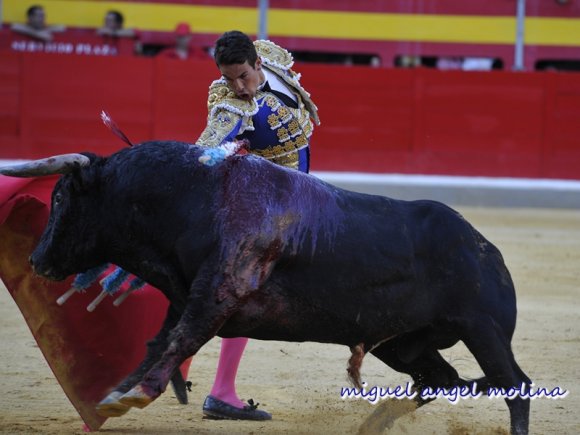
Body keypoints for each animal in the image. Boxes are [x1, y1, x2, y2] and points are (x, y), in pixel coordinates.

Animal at [20, 142, 528, 432]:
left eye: (60, 197)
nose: (35, 260)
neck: (195, 196)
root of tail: (488, 250)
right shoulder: (185, 296)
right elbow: (159, 341)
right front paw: (114, 397)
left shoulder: (220, 290)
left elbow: (181, 339)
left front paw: (134, 394)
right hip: (402, 344)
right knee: (441, 379)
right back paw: (375, 422)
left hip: (483, 330)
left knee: (515, 386)